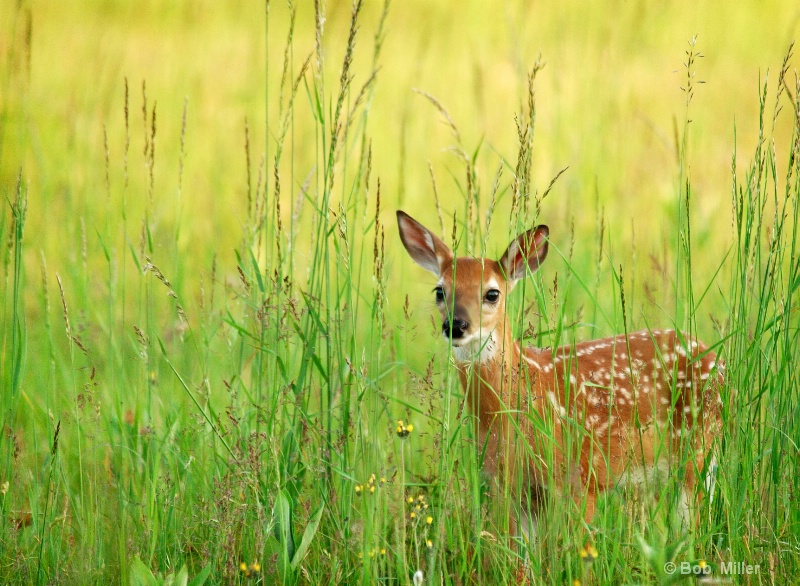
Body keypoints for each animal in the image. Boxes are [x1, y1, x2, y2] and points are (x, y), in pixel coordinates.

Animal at [396, 210, 728, 540]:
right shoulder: (510, 487)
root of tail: (715, 357)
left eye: (492, 293)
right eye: (440, 291)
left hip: (699, 449)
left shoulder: (583, 478)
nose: (456, 325)